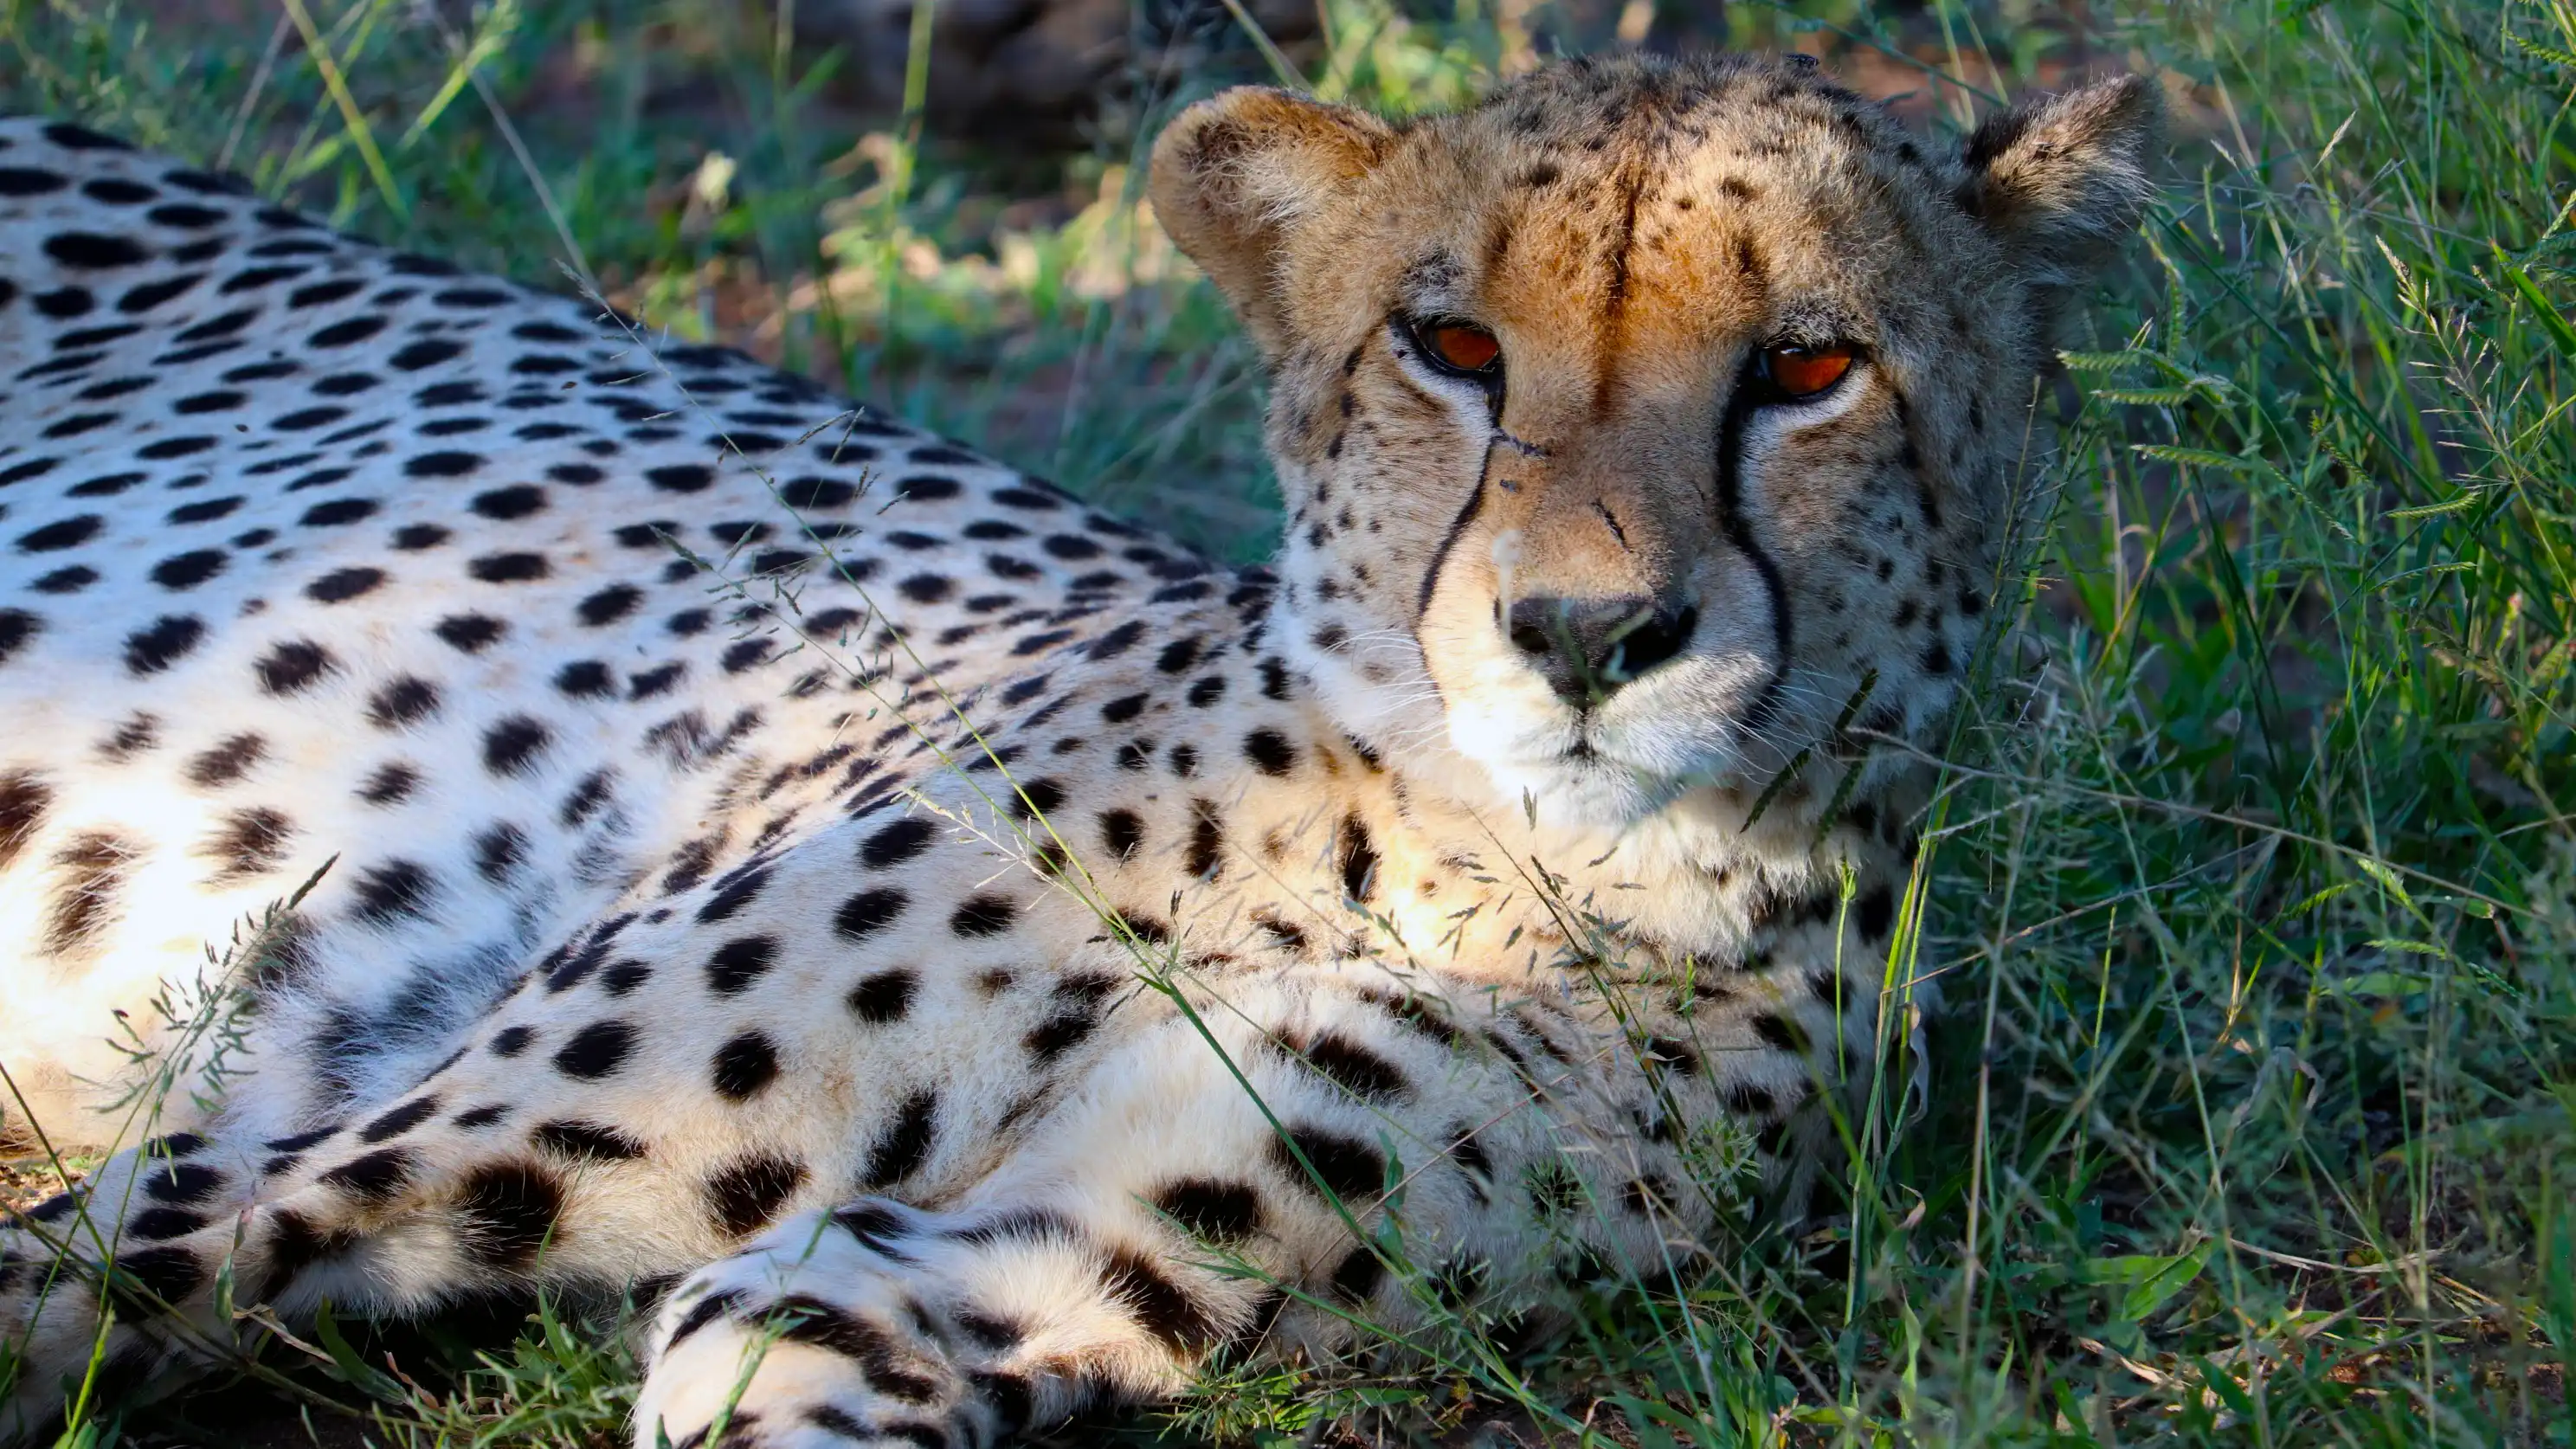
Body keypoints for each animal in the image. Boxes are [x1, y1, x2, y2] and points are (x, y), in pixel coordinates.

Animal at [0, 52, 2156, 1447]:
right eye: (1451, 349)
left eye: (1810, 369)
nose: (1587, 637)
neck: (1490, 867)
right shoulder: (366, 1142)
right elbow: (74, 1284)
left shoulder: (1026, 1259)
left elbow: (796, 1327)